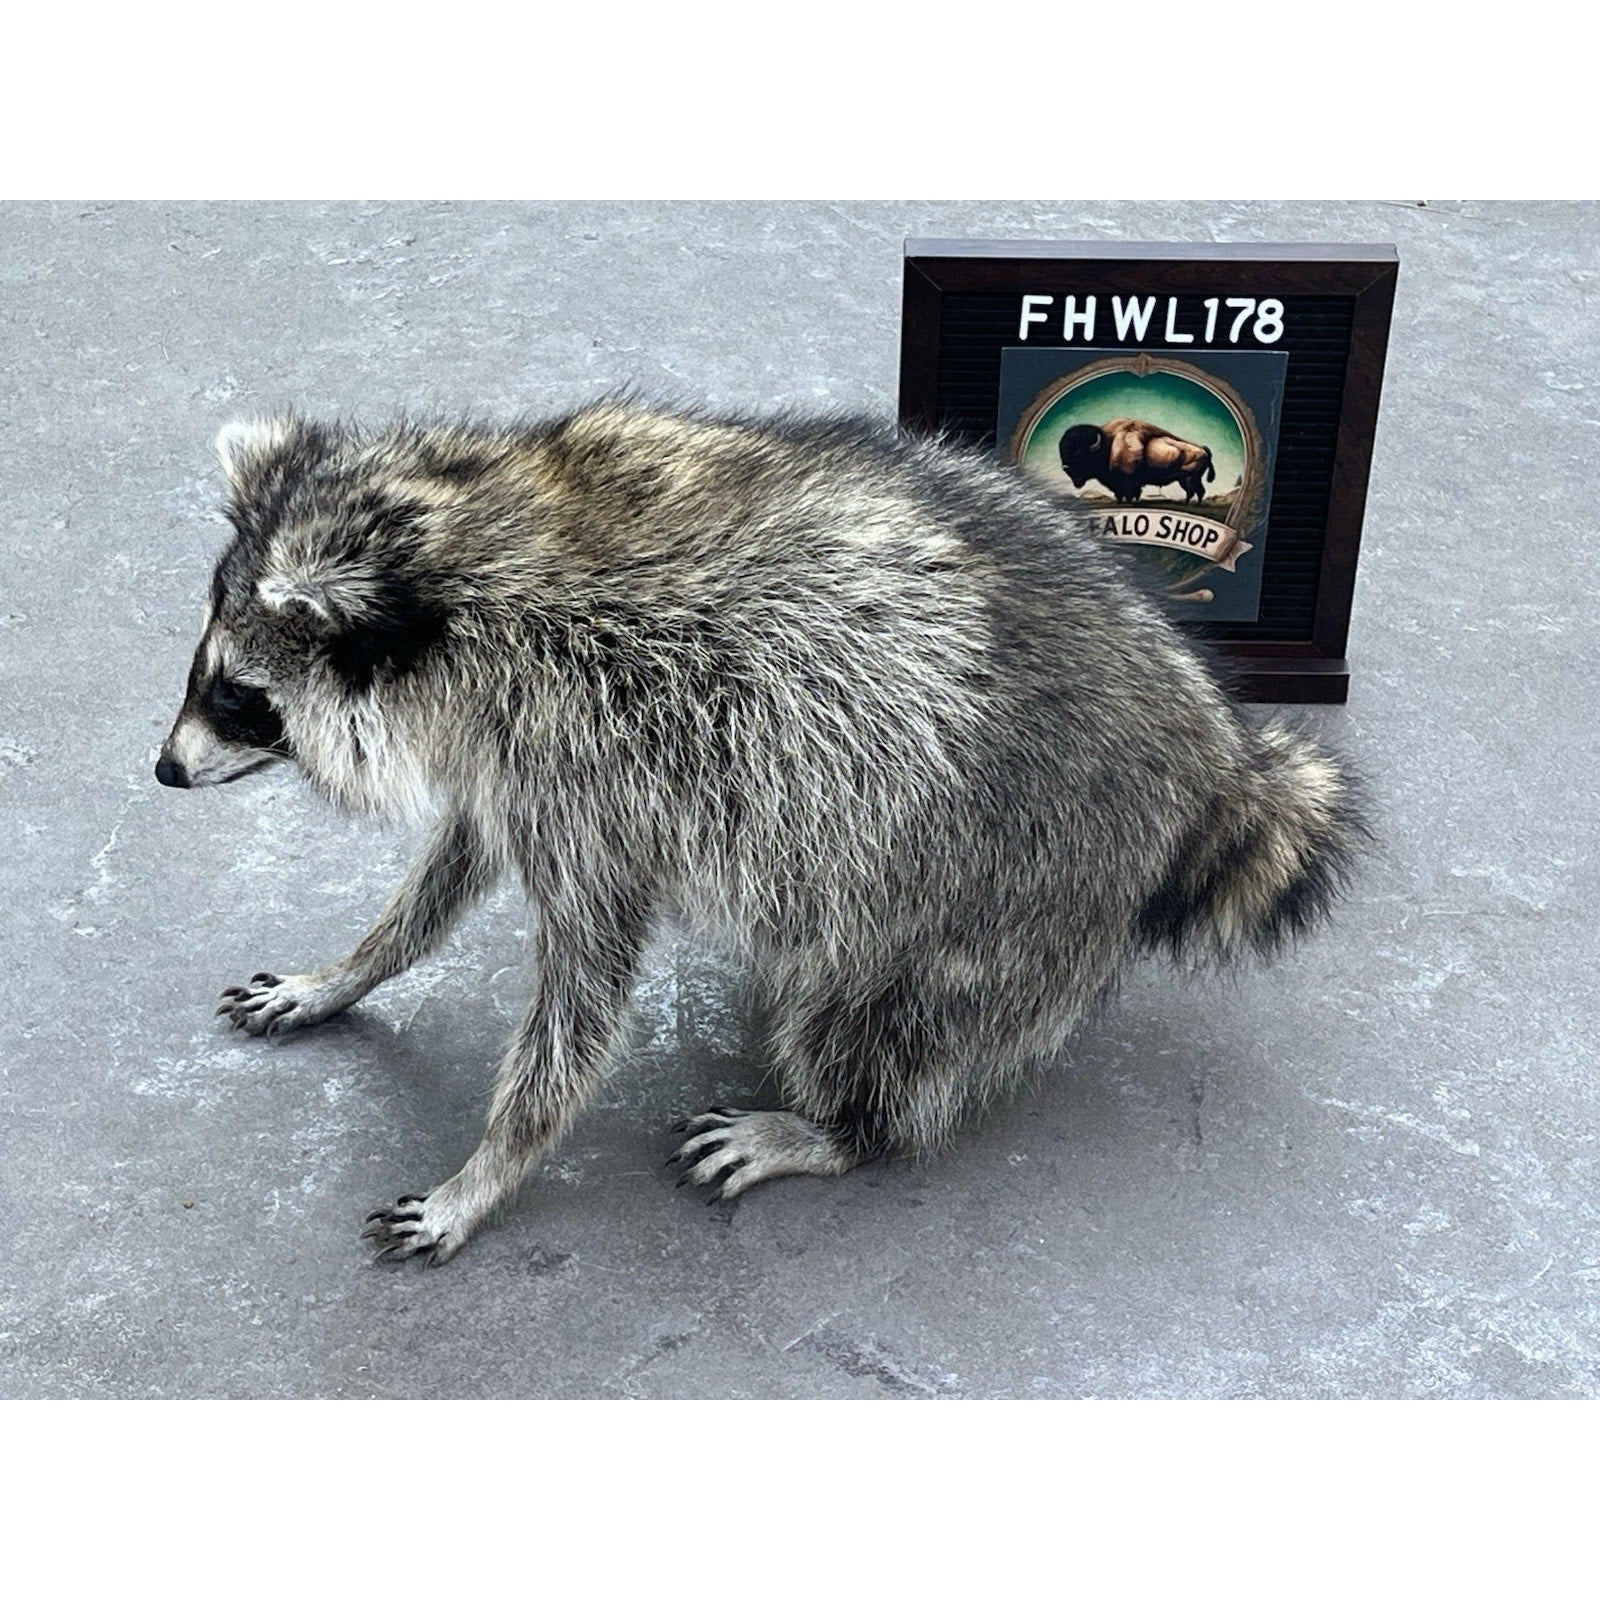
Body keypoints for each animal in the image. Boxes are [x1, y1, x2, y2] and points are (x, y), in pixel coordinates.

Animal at [157, 404, 1367, 1266]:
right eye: (206, 668)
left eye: (238, 695)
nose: (164, 768)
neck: (470, 545)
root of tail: (1215, 757)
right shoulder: (516, 761)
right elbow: (453, 868)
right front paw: (350, 968)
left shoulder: (592, 760)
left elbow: (582, 993)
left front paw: (488, 1168)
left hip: (1006, 882)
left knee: (871, 1012)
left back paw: (842, 1127)